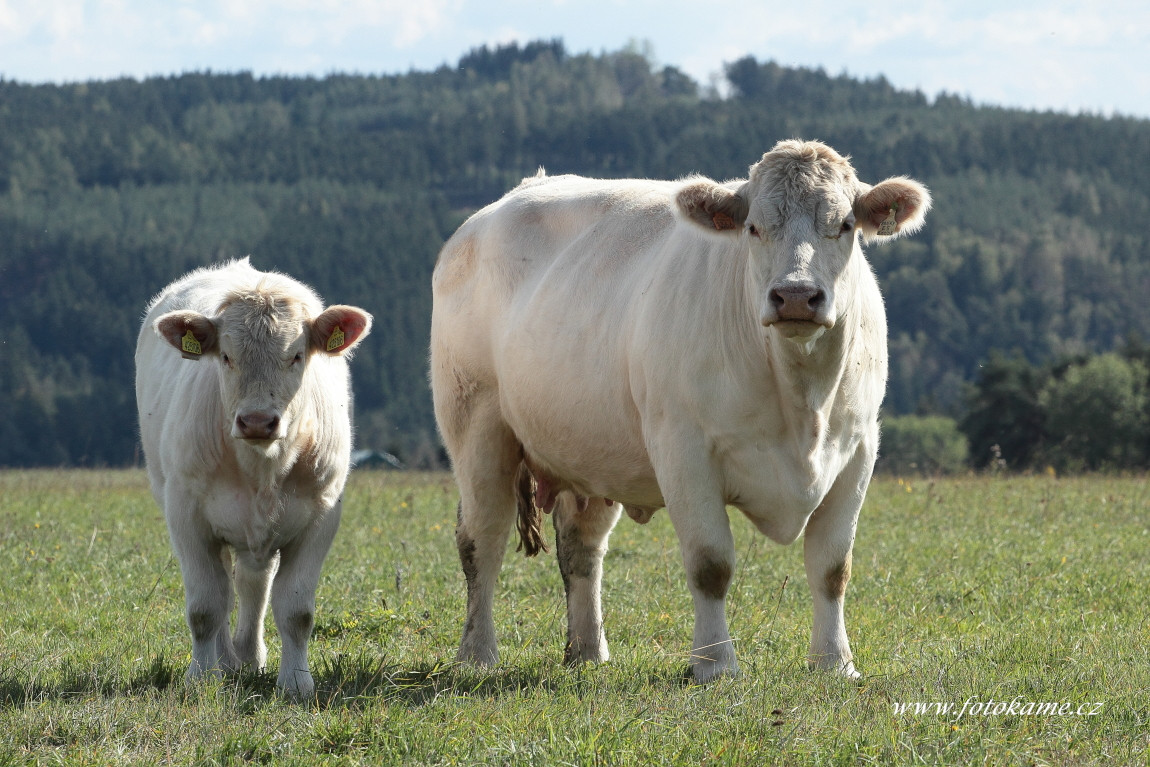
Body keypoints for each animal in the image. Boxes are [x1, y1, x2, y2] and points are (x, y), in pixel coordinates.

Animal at [135, 259, 370, 703]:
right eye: (226, 356)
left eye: (297, 355)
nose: (258, 421)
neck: (262, 468)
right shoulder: (186, 514)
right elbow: (205, 606)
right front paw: (201, 677)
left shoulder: (321, 516)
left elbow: (296, 610)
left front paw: (296, 682)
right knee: (227, 589)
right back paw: (226, 661)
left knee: (251, 585)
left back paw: (247, 656)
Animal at [432, 140, 933, 680]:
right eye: (753, 227)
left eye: (843, 224)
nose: (796, 296)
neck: (802, 402)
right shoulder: (684, 450)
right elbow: (711, 565)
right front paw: (716, 666)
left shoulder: (858, 450)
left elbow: (832, 567)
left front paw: (834, 663)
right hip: (477, 424)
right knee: (482, 537)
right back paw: (478, 655)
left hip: (592, 450)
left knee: (582, 547)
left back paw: (588, 652)